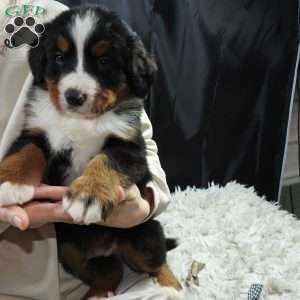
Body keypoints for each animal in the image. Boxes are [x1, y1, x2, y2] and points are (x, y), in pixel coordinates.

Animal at [0, 5, 182, 300]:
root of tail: (111, 247)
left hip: (144, 236)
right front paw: (9, 182)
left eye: (104, 61)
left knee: (157, 261)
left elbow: (106, 161)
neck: (81, 121)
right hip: (71, 252)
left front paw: (89, 195)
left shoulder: (131, 148)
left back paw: (170, 287)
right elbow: (26, 152)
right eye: (59, 57)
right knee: (109, 272)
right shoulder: (36, 132)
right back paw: (96, 293)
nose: (74, 96)